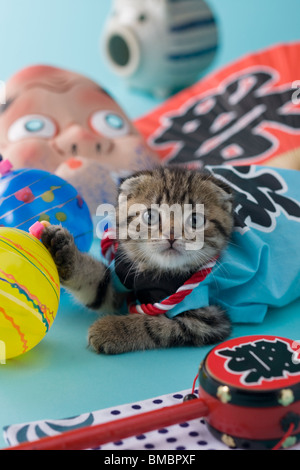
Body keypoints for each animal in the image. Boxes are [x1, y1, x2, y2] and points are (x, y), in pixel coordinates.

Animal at [41, 165, 234, 352]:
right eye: (150, 216)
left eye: (195, 220)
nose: (172, 235)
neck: (160, 273)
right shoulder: (125, 282)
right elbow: (97, 284)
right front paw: (64, 253)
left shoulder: (208, 320)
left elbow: (155, 326)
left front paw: (111, 329)